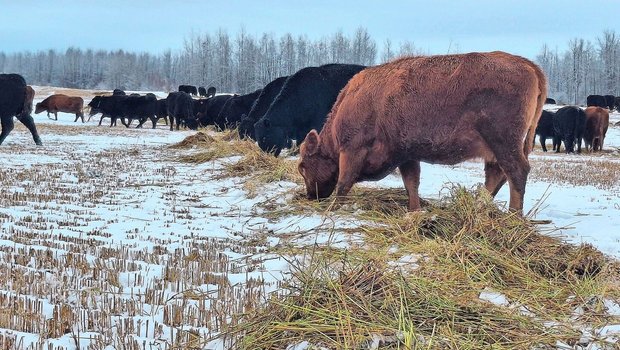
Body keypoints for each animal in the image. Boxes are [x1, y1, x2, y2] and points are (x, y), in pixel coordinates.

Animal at [298, 51, 544, 212]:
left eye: (302, 167)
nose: (310, 196)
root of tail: (527, 64)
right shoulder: (406, 155)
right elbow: (411, 184)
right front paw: (414, 210)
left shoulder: (352, 149)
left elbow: (343, 183)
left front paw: (331, 210)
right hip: (495, 149)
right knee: (496, 174)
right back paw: (479, 206)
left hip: (503, 142)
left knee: (516, 172)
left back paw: (514, 216)